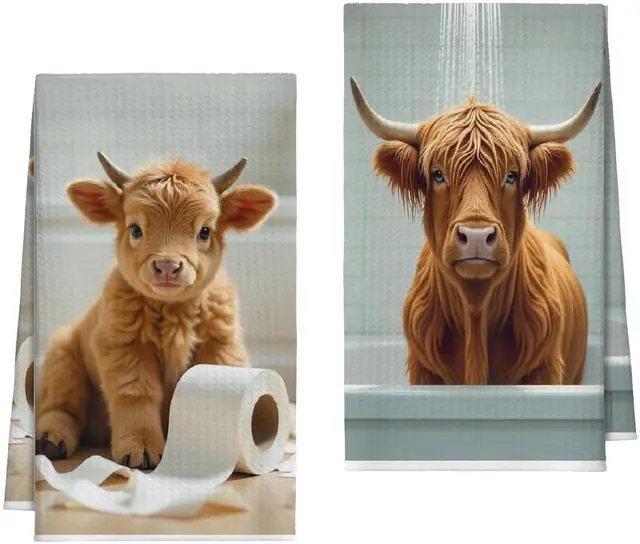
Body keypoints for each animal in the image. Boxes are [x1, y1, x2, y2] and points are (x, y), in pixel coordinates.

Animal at [35, 154, 277, 468]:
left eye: (204, 231)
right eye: (136, 229)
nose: (167, 266)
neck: (175, 312)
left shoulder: (221, 344)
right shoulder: (124, 348)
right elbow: (136, 394)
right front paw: (141, 447)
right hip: (62, 357)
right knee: (62, 407)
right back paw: (51, 439)